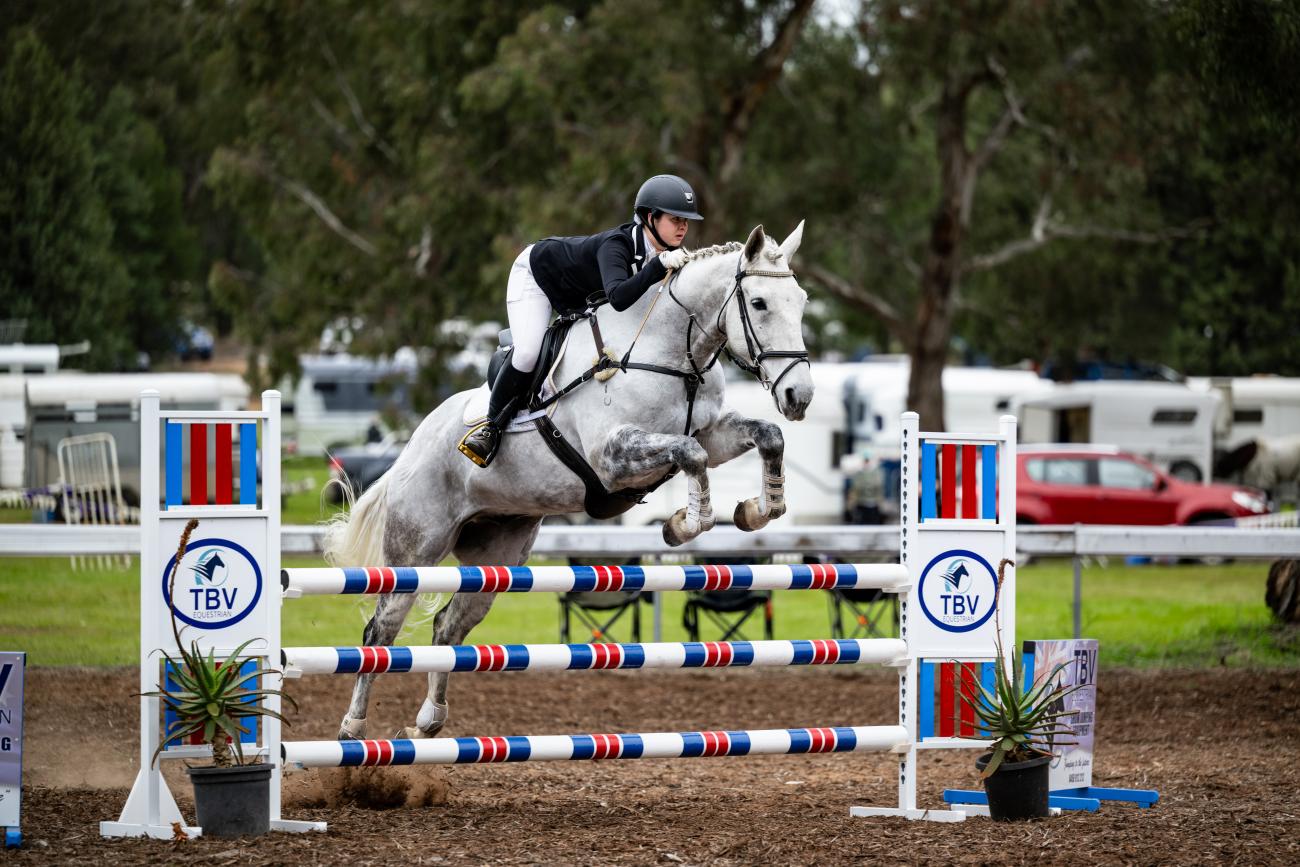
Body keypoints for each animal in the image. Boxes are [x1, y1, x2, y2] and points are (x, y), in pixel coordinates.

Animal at [325, 222, 811, 738]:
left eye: (801, 301)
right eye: (758, 303)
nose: (799, 396)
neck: (669, 353)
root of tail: (408, 450)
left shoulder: (713, 434)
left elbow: (767, 436)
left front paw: (758, 510)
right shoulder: (612, 457)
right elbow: (689, 453)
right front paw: (687, 523)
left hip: (498, 556)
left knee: (449, 626)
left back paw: (427, 722)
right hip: (414, 551)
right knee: (382, 629)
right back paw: (353, 727)